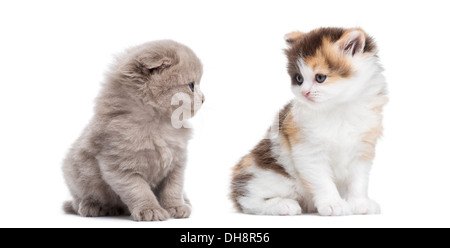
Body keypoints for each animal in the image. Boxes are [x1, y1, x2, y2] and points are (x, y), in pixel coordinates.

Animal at [62, 39, 205, 222]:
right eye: (191, 86)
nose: (204, 98)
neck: (159, 123)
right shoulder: (120, 166)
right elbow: (139, 191)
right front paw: (150, 210)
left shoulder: (176, 164)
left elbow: (173, 188)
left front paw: (175, 207)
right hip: (76, 173)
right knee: (78, 200)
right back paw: (94, 206)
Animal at [230, 27, 388, 215]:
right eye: (299, 79)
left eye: (320, 78)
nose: (305, 93)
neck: (339, 108)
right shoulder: (309, 151)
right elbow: (323, 181)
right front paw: (333, 204)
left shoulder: (363, 149)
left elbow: (359, 181)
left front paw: (360, 204)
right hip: (267, 174)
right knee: (247, 198)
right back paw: (283, 204)